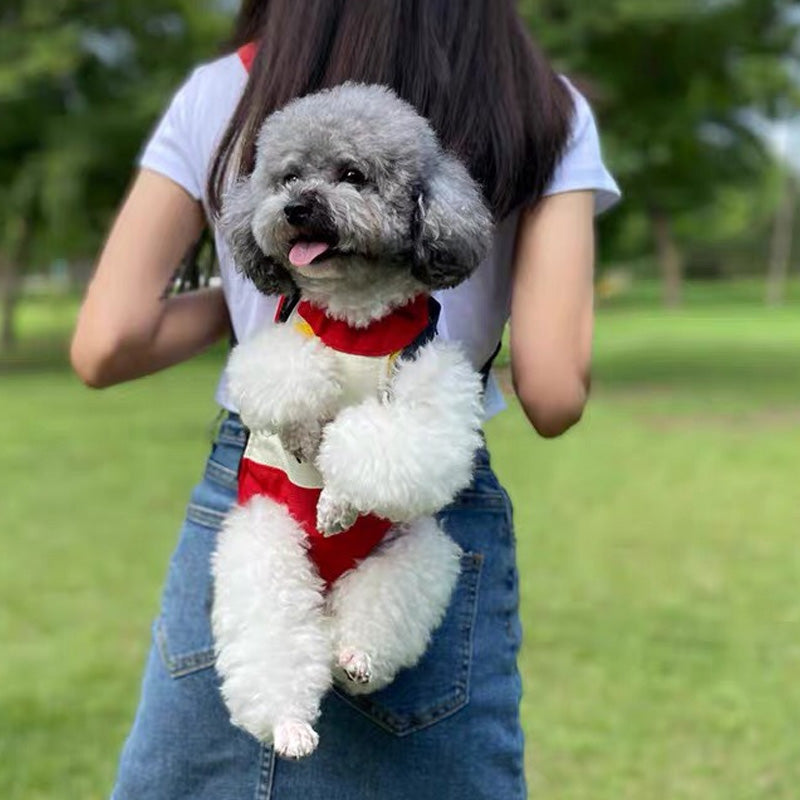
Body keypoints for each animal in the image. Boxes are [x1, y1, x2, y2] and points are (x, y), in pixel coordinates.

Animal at [212, 84, 490, 760]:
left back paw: (356, 658)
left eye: (353, 176)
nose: (297, 207)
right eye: (288, 177)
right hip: (266, 550)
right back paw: (289, 724)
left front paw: (337, 503)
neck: (356, 319)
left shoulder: (429, 392)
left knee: (373, 617)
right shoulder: (281, 349)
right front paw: (304, 438)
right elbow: (293, 390)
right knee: (274, 639)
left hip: (414, 555)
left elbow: (379, 442)